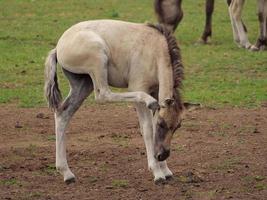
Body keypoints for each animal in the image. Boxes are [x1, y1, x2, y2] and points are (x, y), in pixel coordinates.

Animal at [45, 19, 185, 184]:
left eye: (177, 126)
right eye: (161, 124)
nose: (162, 155)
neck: (155, 50)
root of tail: (58, 47)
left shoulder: (156, 92)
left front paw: (165, 170)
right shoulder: (140, 87)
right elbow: (147, 128)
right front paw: (157, 172)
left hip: (83, 83)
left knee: (63, 114)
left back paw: (66, 173)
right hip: (99, 58)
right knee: (103, 95)